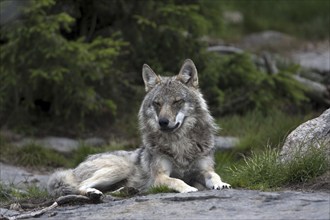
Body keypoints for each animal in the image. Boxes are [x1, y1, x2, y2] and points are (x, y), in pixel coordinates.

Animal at [47, 58, 231, 199]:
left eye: (176, 101)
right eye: (157, 103)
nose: (163, 122)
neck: (180, 144)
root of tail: (74, 168)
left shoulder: (204, 169)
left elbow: (214, 175)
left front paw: (221, 183)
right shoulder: (159, 177)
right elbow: (177, 180)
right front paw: (187, 188)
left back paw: (127, 190)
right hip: (119, 168)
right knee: (80, 186)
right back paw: (93, 192)